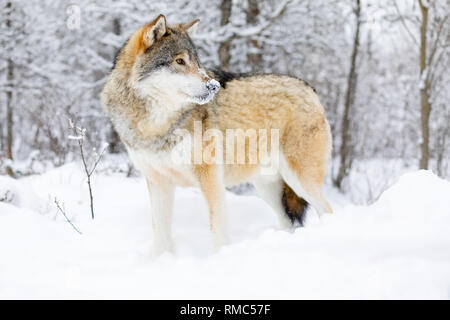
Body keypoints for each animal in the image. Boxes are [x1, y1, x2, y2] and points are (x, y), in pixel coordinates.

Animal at [103, 15, 334, 256]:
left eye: (197, 62)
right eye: (179, 61)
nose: (213, 86)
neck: (155, 125)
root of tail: (310, 89)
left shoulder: (210, 177)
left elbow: (218, 229)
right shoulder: (157, 181)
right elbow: (161, 234)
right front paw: (160, 259)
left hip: (299, 181)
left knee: (328, 210)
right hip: (268, 188)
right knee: (288, 222)